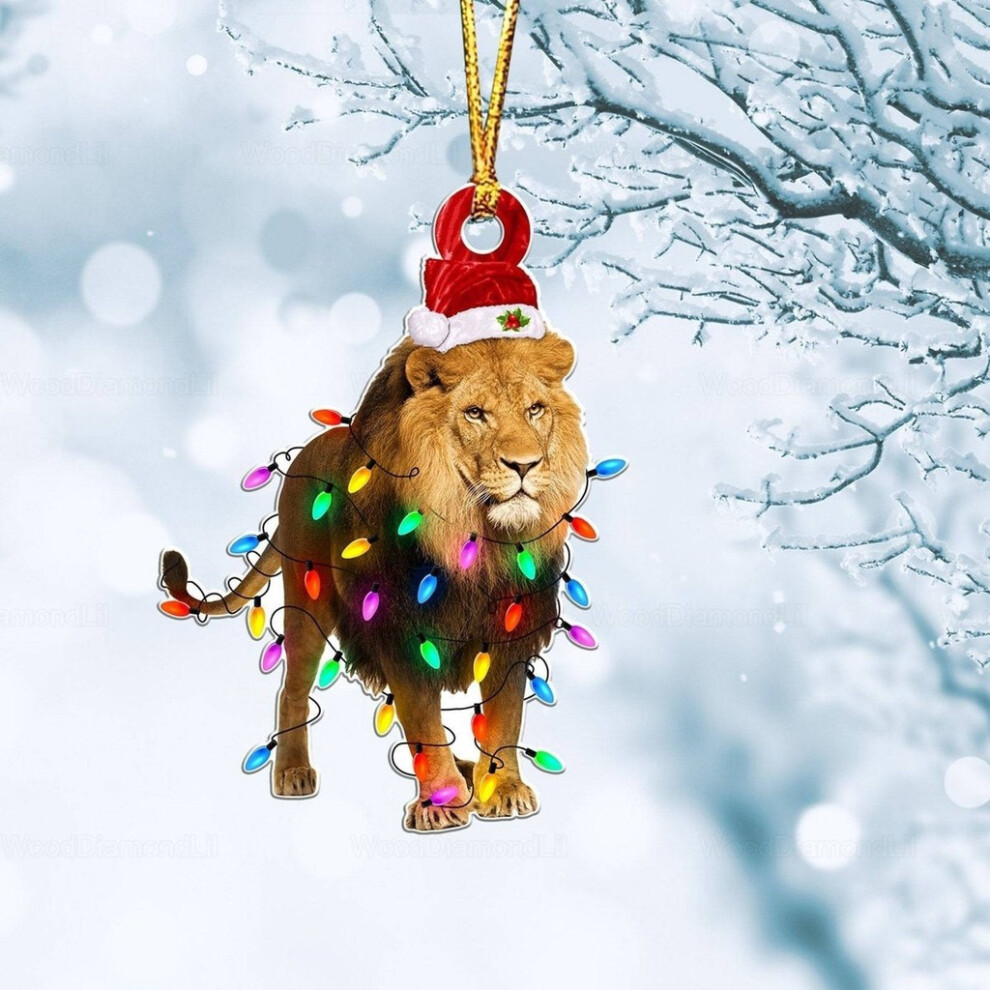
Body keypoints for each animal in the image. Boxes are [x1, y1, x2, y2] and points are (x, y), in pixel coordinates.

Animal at [160, 331, 588, 830]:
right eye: (475, 412)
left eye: (535, 409)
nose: (525, 465)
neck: (476, 537)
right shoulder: (401, 626)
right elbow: (422, 718)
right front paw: (442, 801)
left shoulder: (509, 628)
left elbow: (505, 716)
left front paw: (501, 791)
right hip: (309, 599)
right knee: (292, 689)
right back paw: (293, 772)